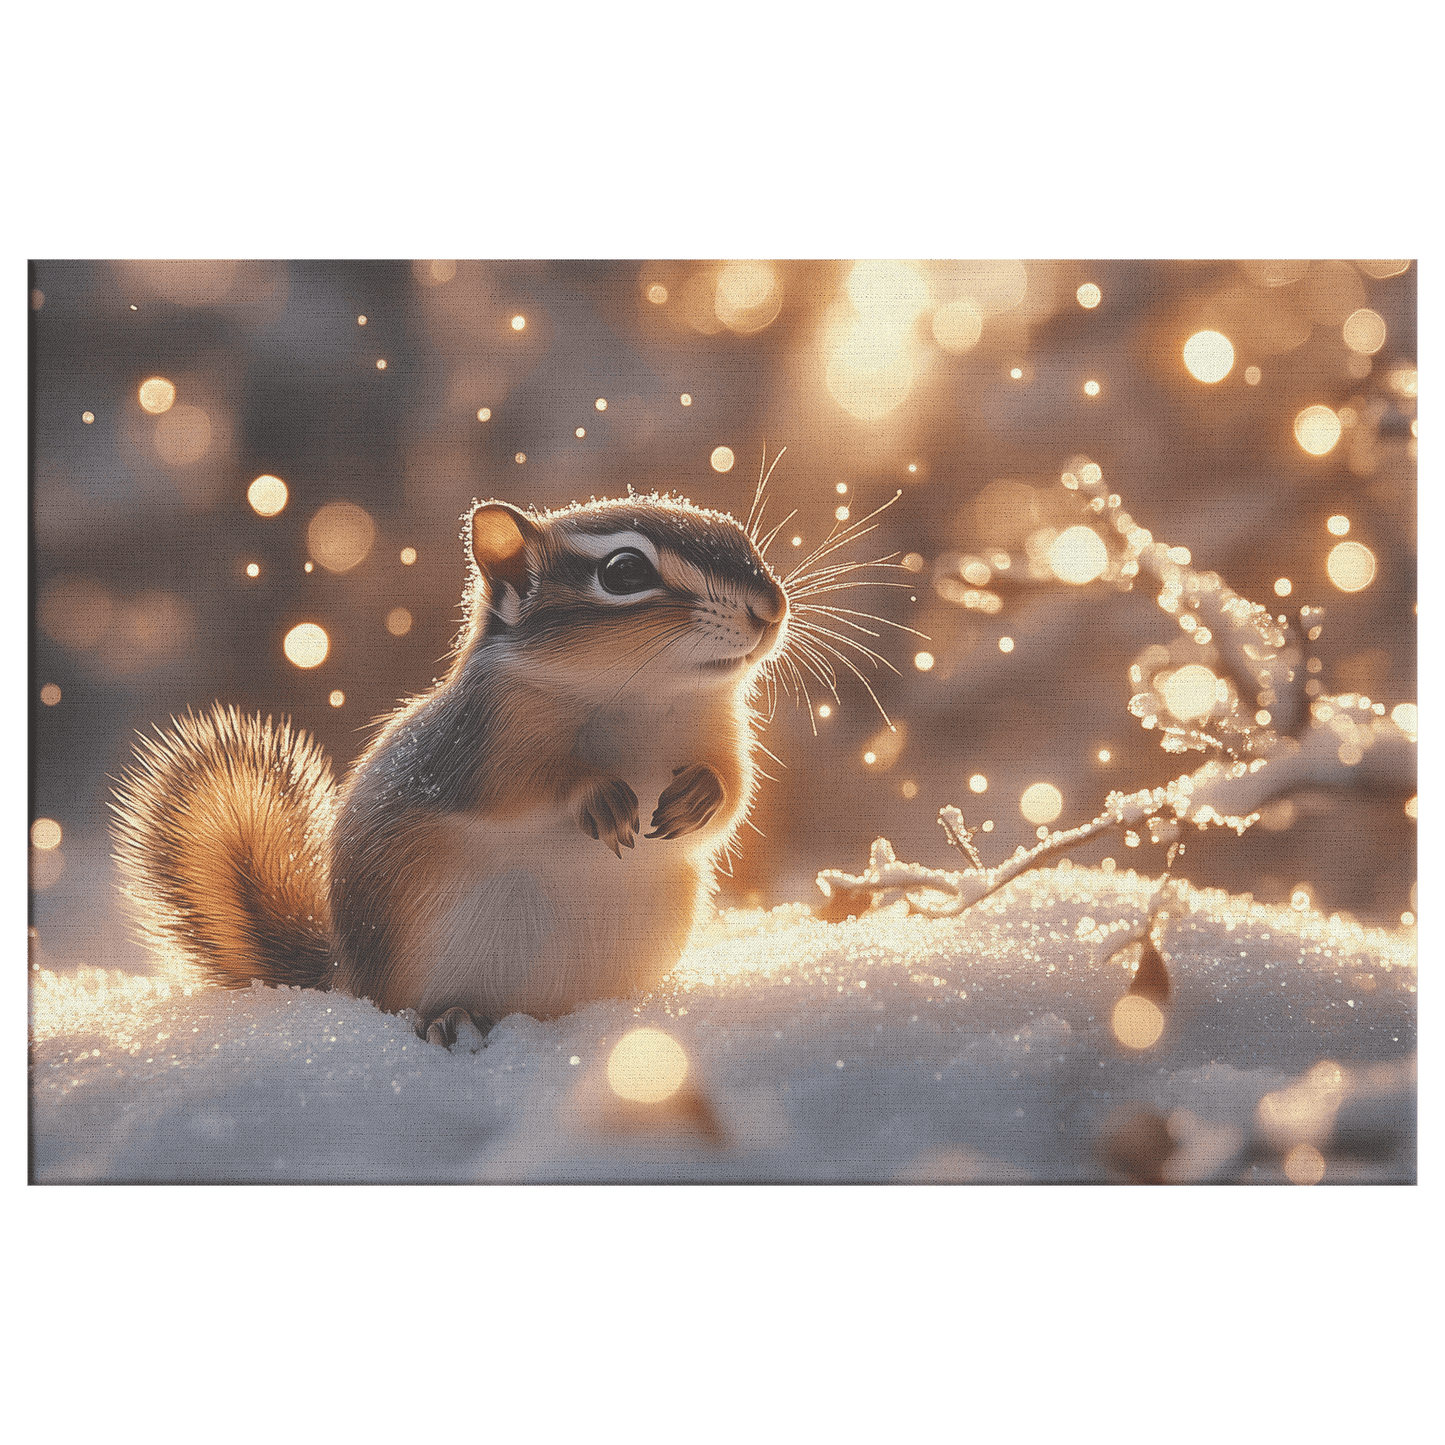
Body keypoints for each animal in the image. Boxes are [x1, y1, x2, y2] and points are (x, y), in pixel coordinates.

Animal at [113, 494, 789, 1048]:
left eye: (740, 535)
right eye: (625, 572)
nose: (771, 606)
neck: (643, 694)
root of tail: (342, 976)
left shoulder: (724, 737)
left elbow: (734, 798)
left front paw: (699, 795)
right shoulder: (477, 748)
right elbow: (525, 786)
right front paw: (597, 794)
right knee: (413, 1009)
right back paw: (452, 1018)